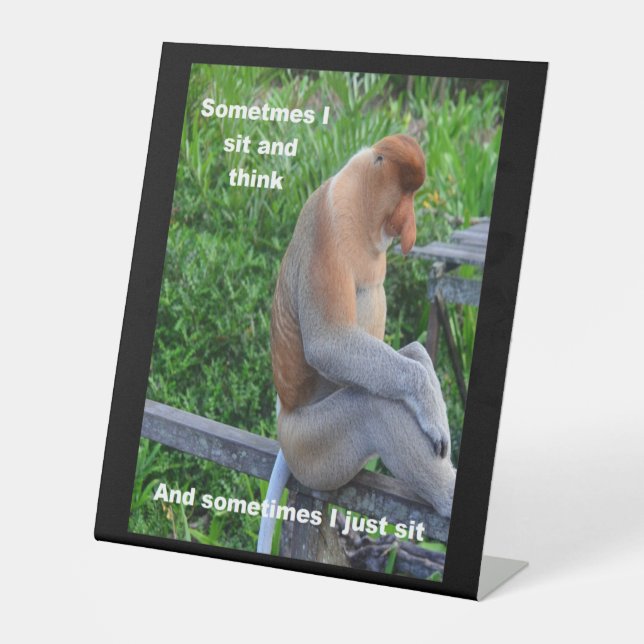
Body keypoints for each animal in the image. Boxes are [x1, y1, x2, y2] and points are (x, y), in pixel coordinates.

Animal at [257, 134, 456, 555]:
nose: (410, 227)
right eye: (404, 194)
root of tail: (285, 417)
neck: (360, 197)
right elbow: (328, 344)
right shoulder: (328, 226)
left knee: (404, 360)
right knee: (374, 406)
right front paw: (432, 411)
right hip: (313, 449)